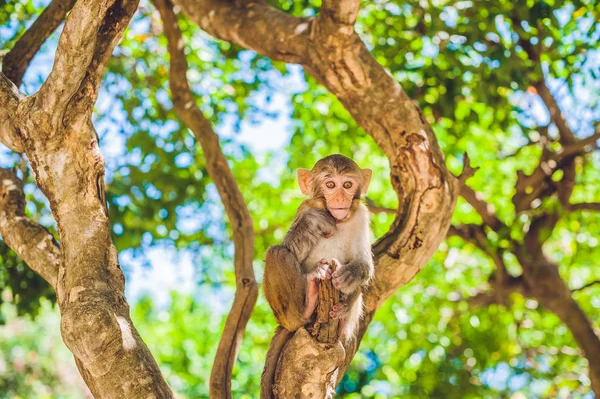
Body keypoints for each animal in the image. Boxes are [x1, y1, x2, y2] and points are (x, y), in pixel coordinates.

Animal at [260, 155, 372, 398]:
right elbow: (290, 247)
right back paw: (306, 305)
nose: (339, 197)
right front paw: (313, 222)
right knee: (275, 253)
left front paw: (349, 275)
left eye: (347, 185)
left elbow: (366, 266)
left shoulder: (361, 214)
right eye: (330, 184)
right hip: (287, 315)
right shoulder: (306, 207)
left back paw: (342, 313)